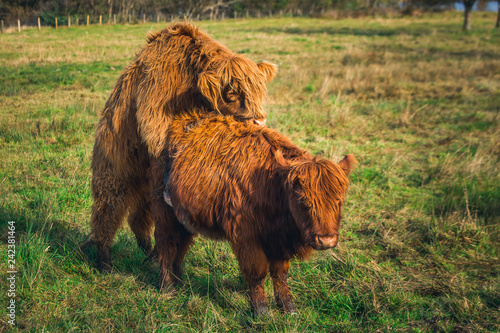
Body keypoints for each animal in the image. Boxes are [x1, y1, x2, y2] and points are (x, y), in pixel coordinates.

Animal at [83, 22, 276, 270]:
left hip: (147, 187)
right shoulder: (155, 108)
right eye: (232, 93)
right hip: (114, 171)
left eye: (260, 91)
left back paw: (148, 253)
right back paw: (104, 261)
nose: (259, 120)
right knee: (107, 212)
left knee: (140, 218)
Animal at [152, 111, 356, 314]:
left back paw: (180, 281)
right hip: (164, 214)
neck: (272, 182)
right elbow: (257, 272)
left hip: (184, 217)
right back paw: (167, 287)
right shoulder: (246, 237)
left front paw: (287, 306)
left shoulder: (277, 240)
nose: (326, 240)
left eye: (339, 201)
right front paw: (261, 309)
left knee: (181, 245)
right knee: (166, 245)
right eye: (303, 201)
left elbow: (280, 272)